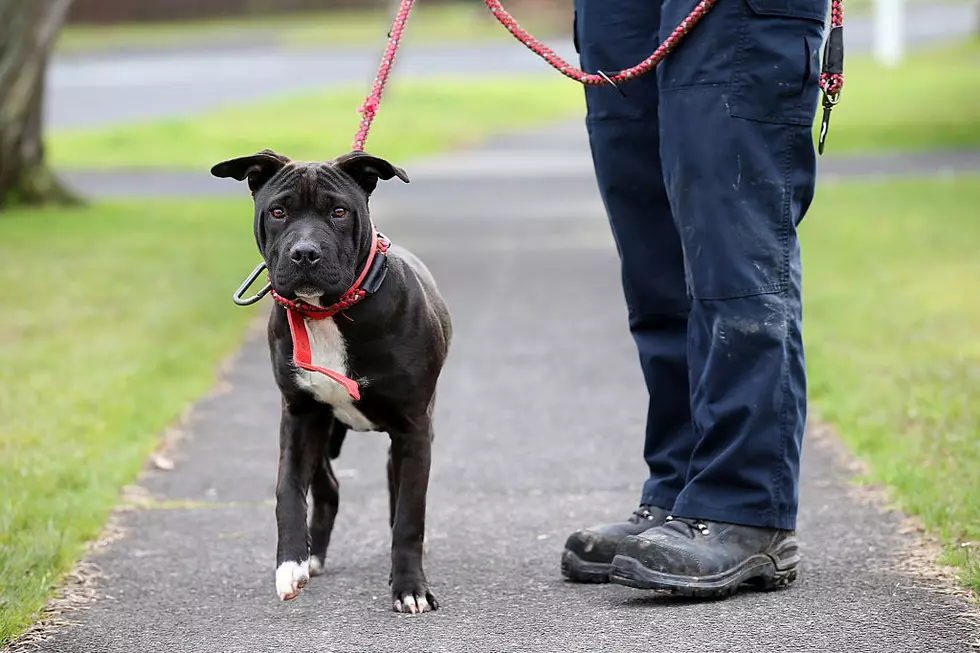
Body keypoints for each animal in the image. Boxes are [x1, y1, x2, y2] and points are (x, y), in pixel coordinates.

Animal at [212, 148, 454, 612]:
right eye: (279, 211)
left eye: (338, 211)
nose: (304, 253)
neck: (326, 313)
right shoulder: (299, 416)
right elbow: (287, 490)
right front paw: (290, 565)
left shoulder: (413, 428)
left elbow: (410, 515)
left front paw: (410, 587)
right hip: (323, 431)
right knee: (328, 488)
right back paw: (313, 556)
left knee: (395, 494)